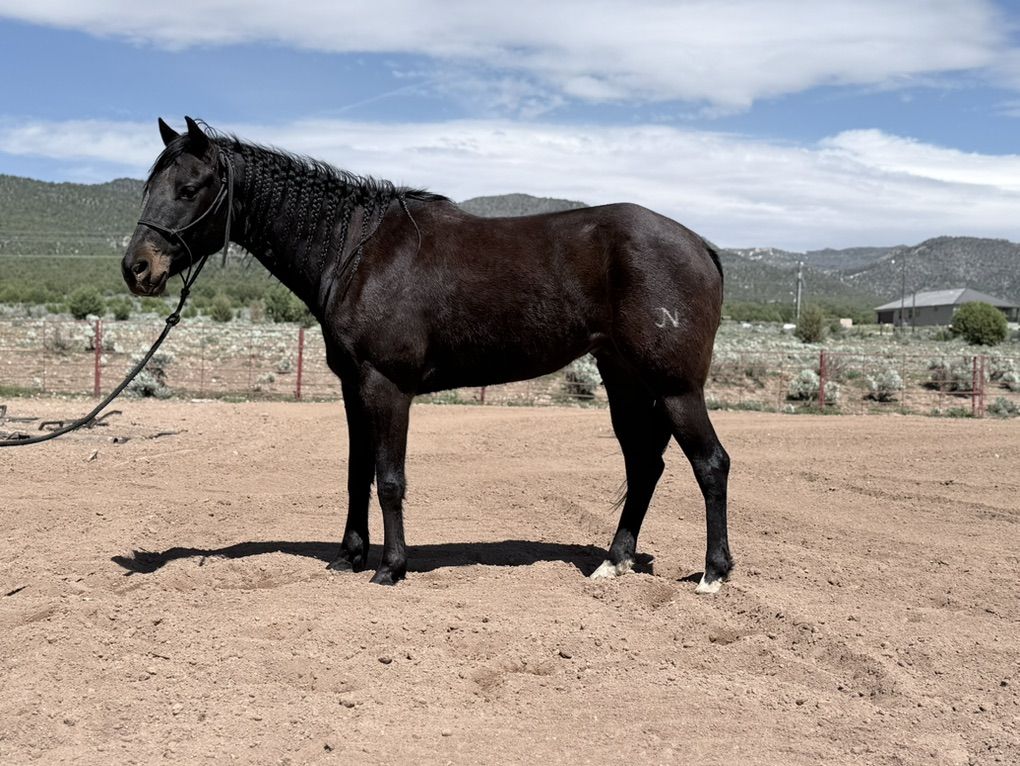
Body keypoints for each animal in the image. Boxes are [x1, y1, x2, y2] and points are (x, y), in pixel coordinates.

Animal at [122, 116, 732, 592]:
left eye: (191, 187)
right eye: (149, 187)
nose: (137, 268)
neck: (356, 252)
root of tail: (700, 245)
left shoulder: (388, 386)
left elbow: (390, 478)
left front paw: (390, 567)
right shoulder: (354, 388)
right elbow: (358, 473)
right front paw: (348, 557)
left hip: (675, 388)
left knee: (710, 464)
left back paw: (712, 574)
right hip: (626, 381)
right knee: (644, 464)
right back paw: (615, 562)